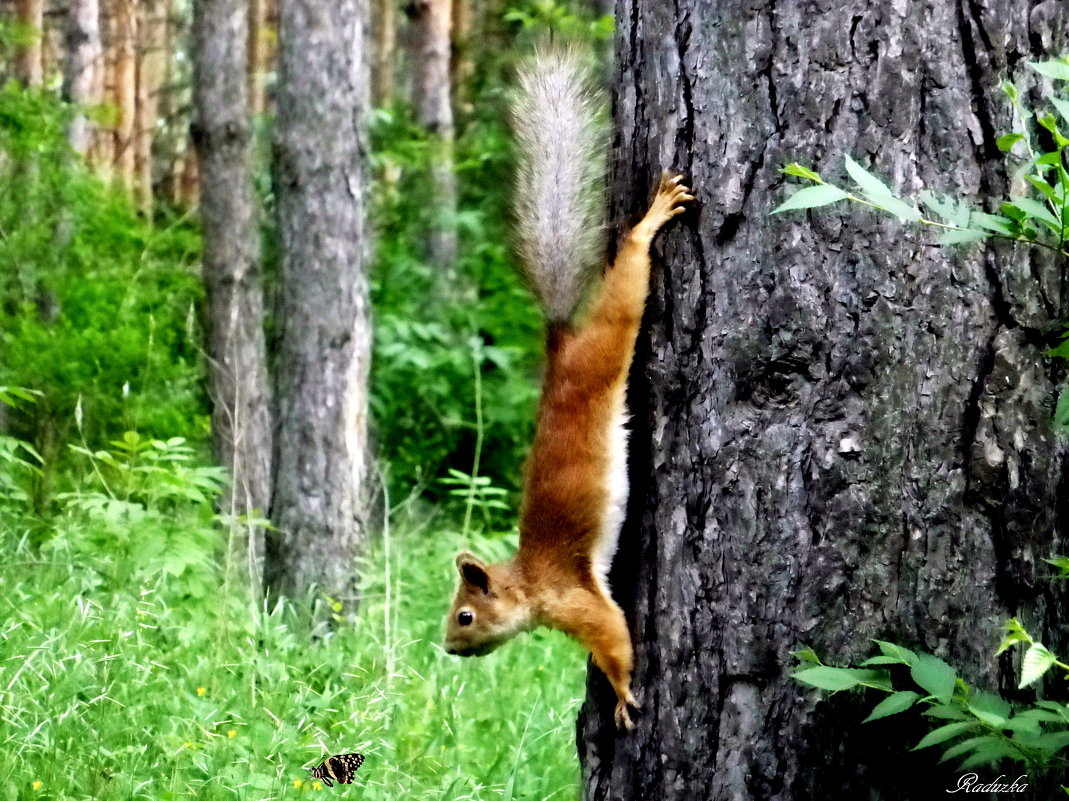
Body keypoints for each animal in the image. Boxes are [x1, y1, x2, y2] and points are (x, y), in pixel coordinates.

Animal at [442, 46, 692, 727]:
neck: (528, 583)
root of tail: (559, 354)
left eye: (465, 615)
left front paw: (624, 696)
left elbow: (614, 635)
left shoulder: (574, 600)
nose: (446, 648)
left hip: (605, 346)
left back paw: (648, 222)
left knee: (623, 293)